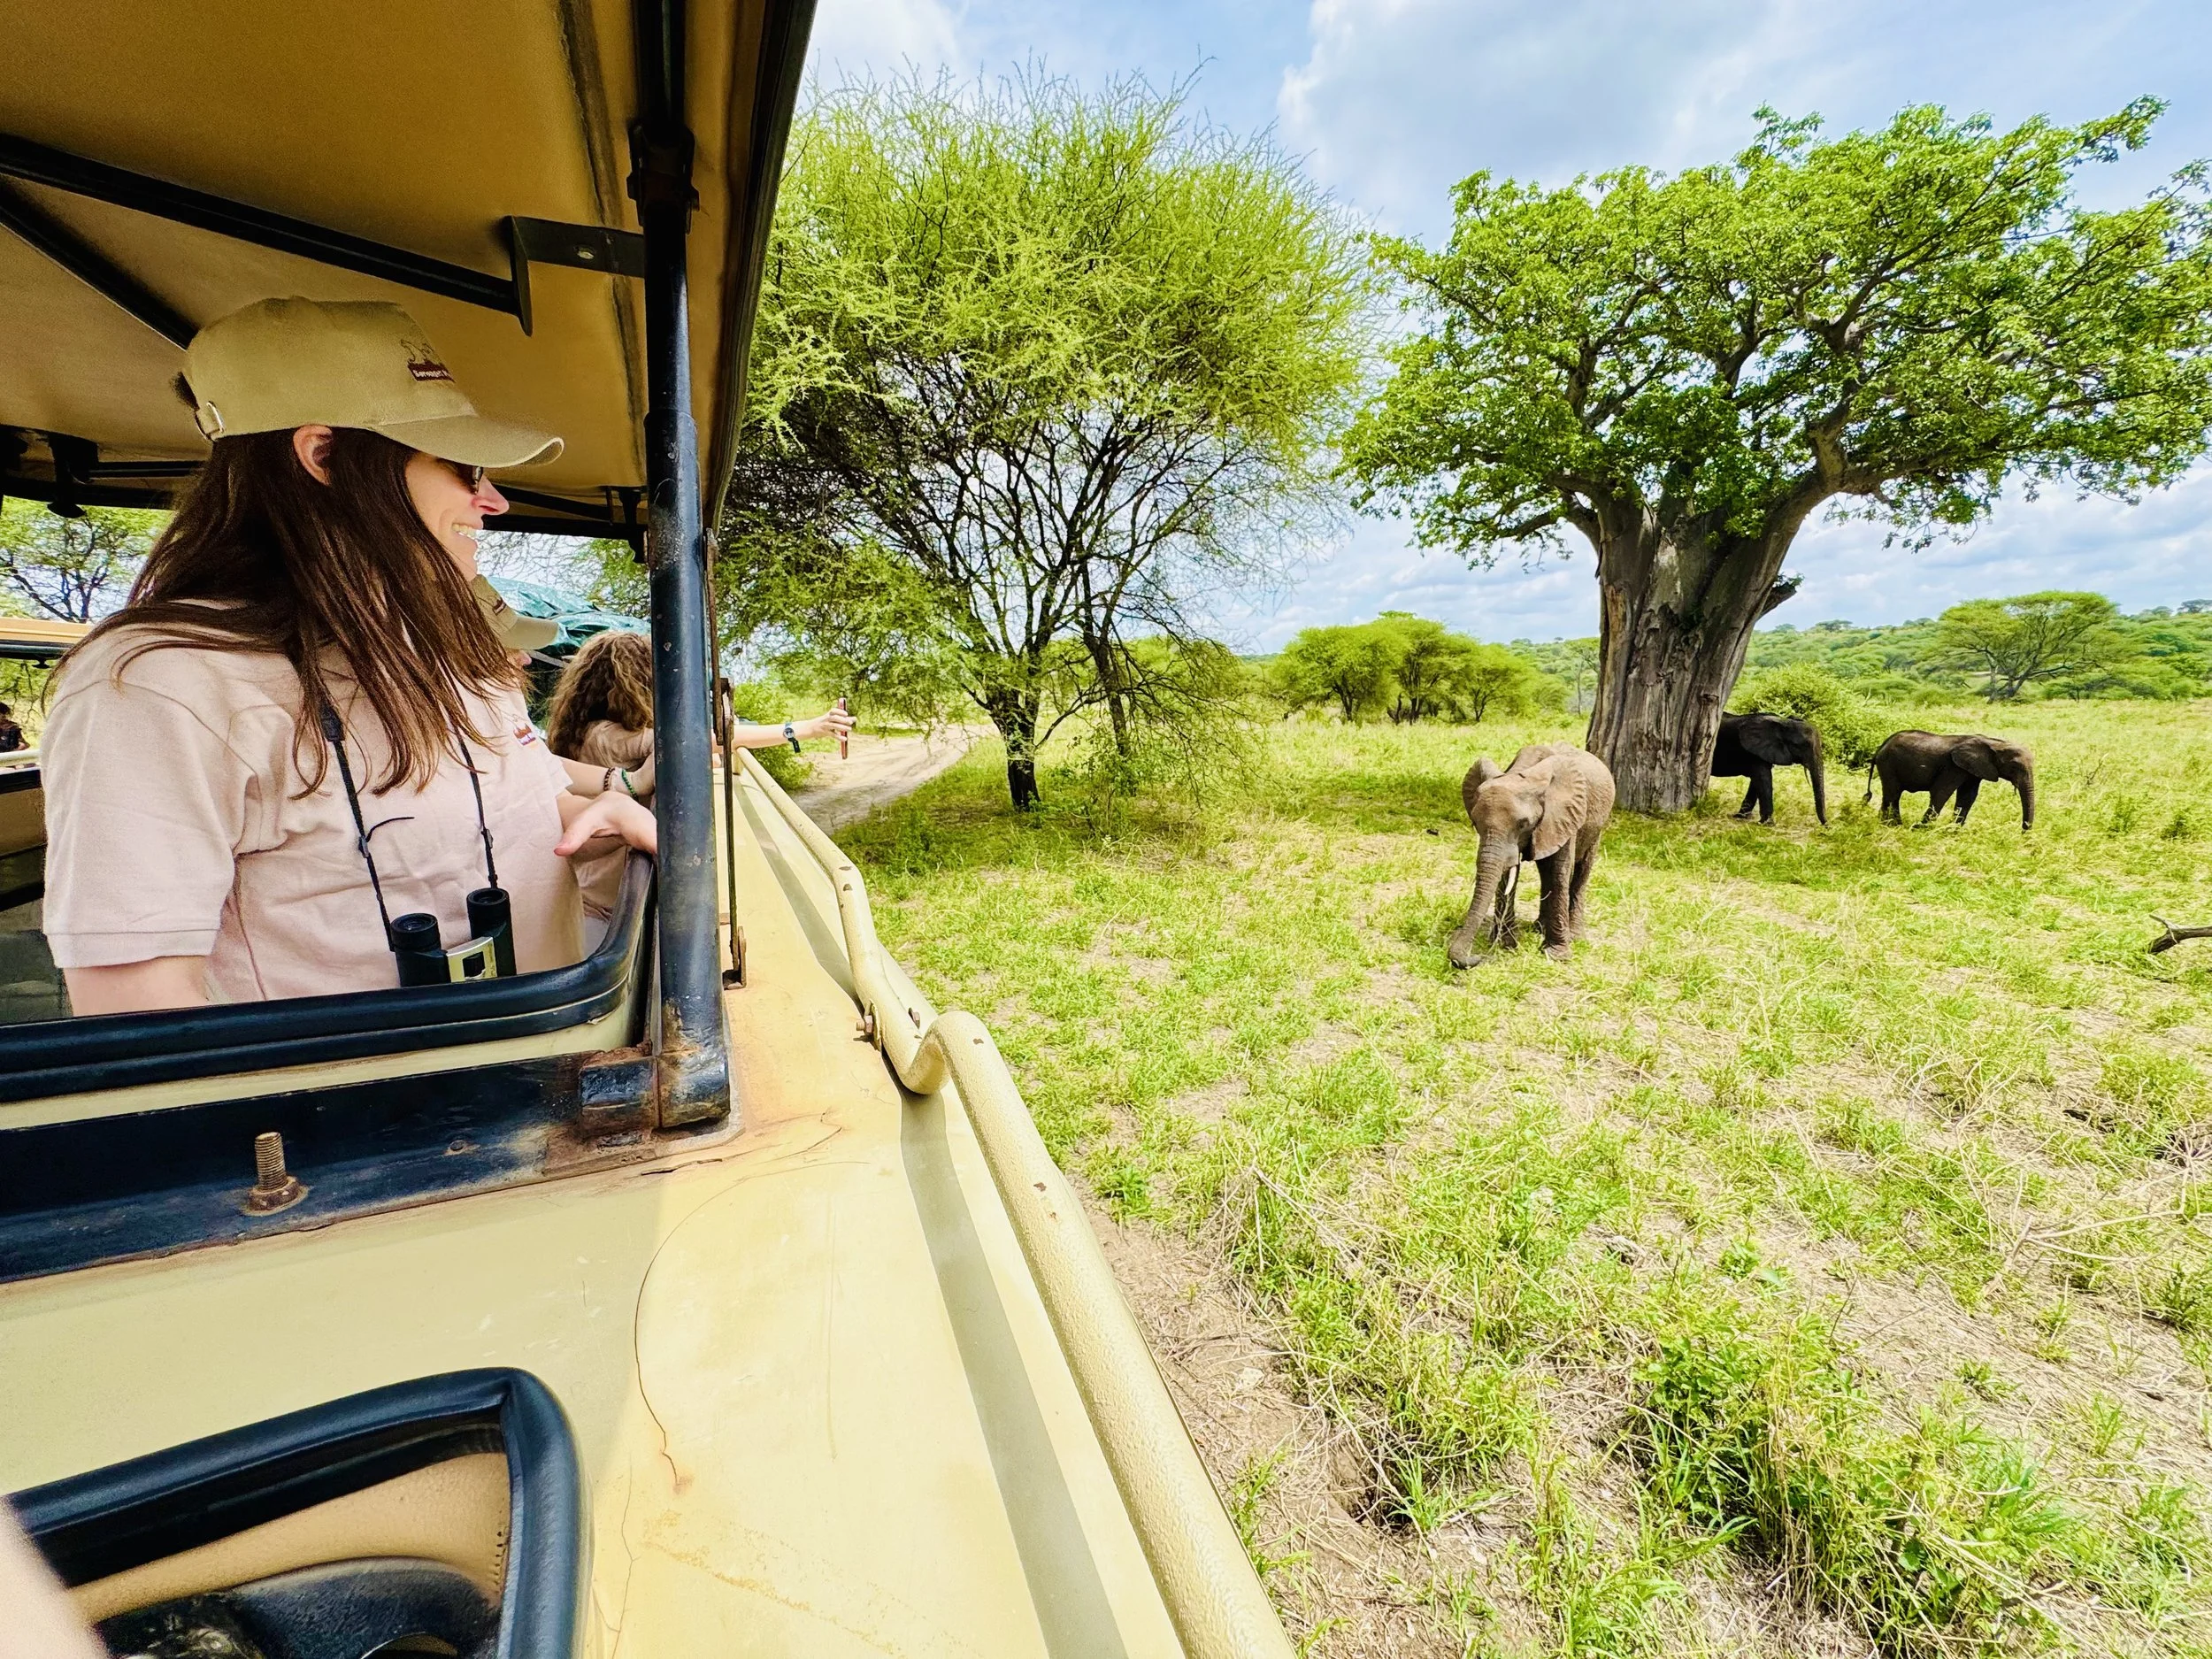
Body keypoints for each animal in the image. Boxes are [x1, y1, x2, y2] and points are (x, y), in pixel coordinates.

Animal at [1447, 744, 1616, 968]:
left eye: (1523, 824)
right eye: (1475, 822)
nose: (1476, 956)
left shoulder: (1564, 816)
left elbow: (1559, 873)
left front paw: (1556, 956)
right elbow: (1508, 874)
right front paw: (1506, 944)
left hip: (1597, 826)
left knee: (1581, 870)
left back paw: (1575, 937)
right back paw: (1539, 928)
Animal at [1710, 712, 1827, 825]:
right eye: (1802, 745)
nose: (1826, 825)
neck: (1783, 722)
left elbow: (1757, 781)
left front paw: (1741, 817)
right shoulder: (1755, 752)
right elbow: (1764, 779)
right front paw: (1768, 824)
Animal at [1868, 731, 2035, 830]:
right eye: (2014, 767)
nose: (2023, 831)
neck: (1993, 742)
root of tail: (1882, 745)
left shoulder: (1974, 770)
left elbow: (1968, 796)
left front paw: (1953, 831)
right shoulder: (1953, 766)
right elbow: (1942, 792)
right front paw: (1921, 828)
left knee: (1891, 795)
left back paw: (1888, 824)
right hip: (1888, 764)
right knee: (1893, 793)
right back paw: (1893, 825)